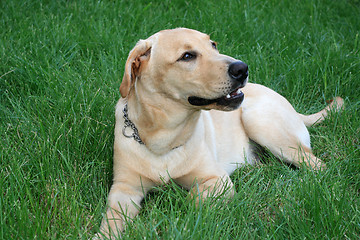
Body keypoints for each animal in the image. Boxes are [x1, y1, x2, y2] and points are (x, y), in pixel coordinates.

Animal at [97, 28, 344, 238]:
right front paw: (103, 235)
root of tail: (293, 108)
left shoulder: (218, 181)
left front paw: (177, 225)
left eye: (213, 45)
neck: (163, 139)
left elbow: (191, 200)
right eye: (187, 56)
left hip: (260, 122)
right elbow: (112, 219)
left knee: (317, 164)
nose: (242, 68)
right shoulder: (124, 188)